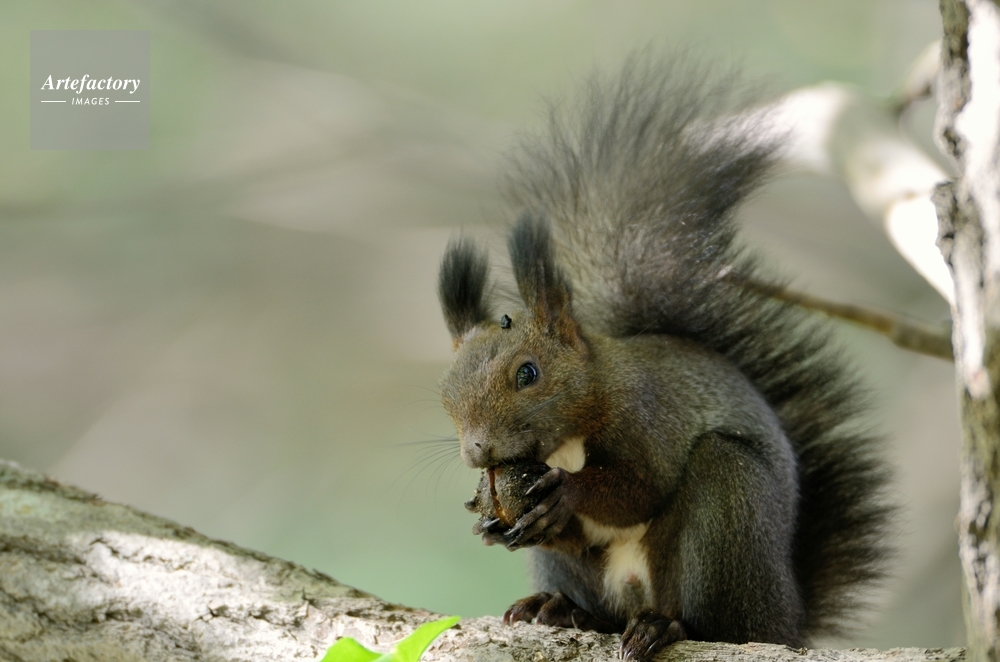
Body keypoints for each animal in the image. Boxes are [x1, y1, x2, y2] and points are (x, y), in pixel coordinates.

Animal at [436, 57, 892, 661]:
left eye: (528, 373)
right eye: (444, 394)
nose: (477, 450)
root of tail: (789, 621)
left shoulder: (649, 417)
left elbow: (641, 489)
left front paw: (567, 492)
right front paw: (489, 522)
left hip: (729, 510)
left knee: (718, 620)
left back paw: (667, 627)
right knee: (599, 607)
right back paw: (560, 609)